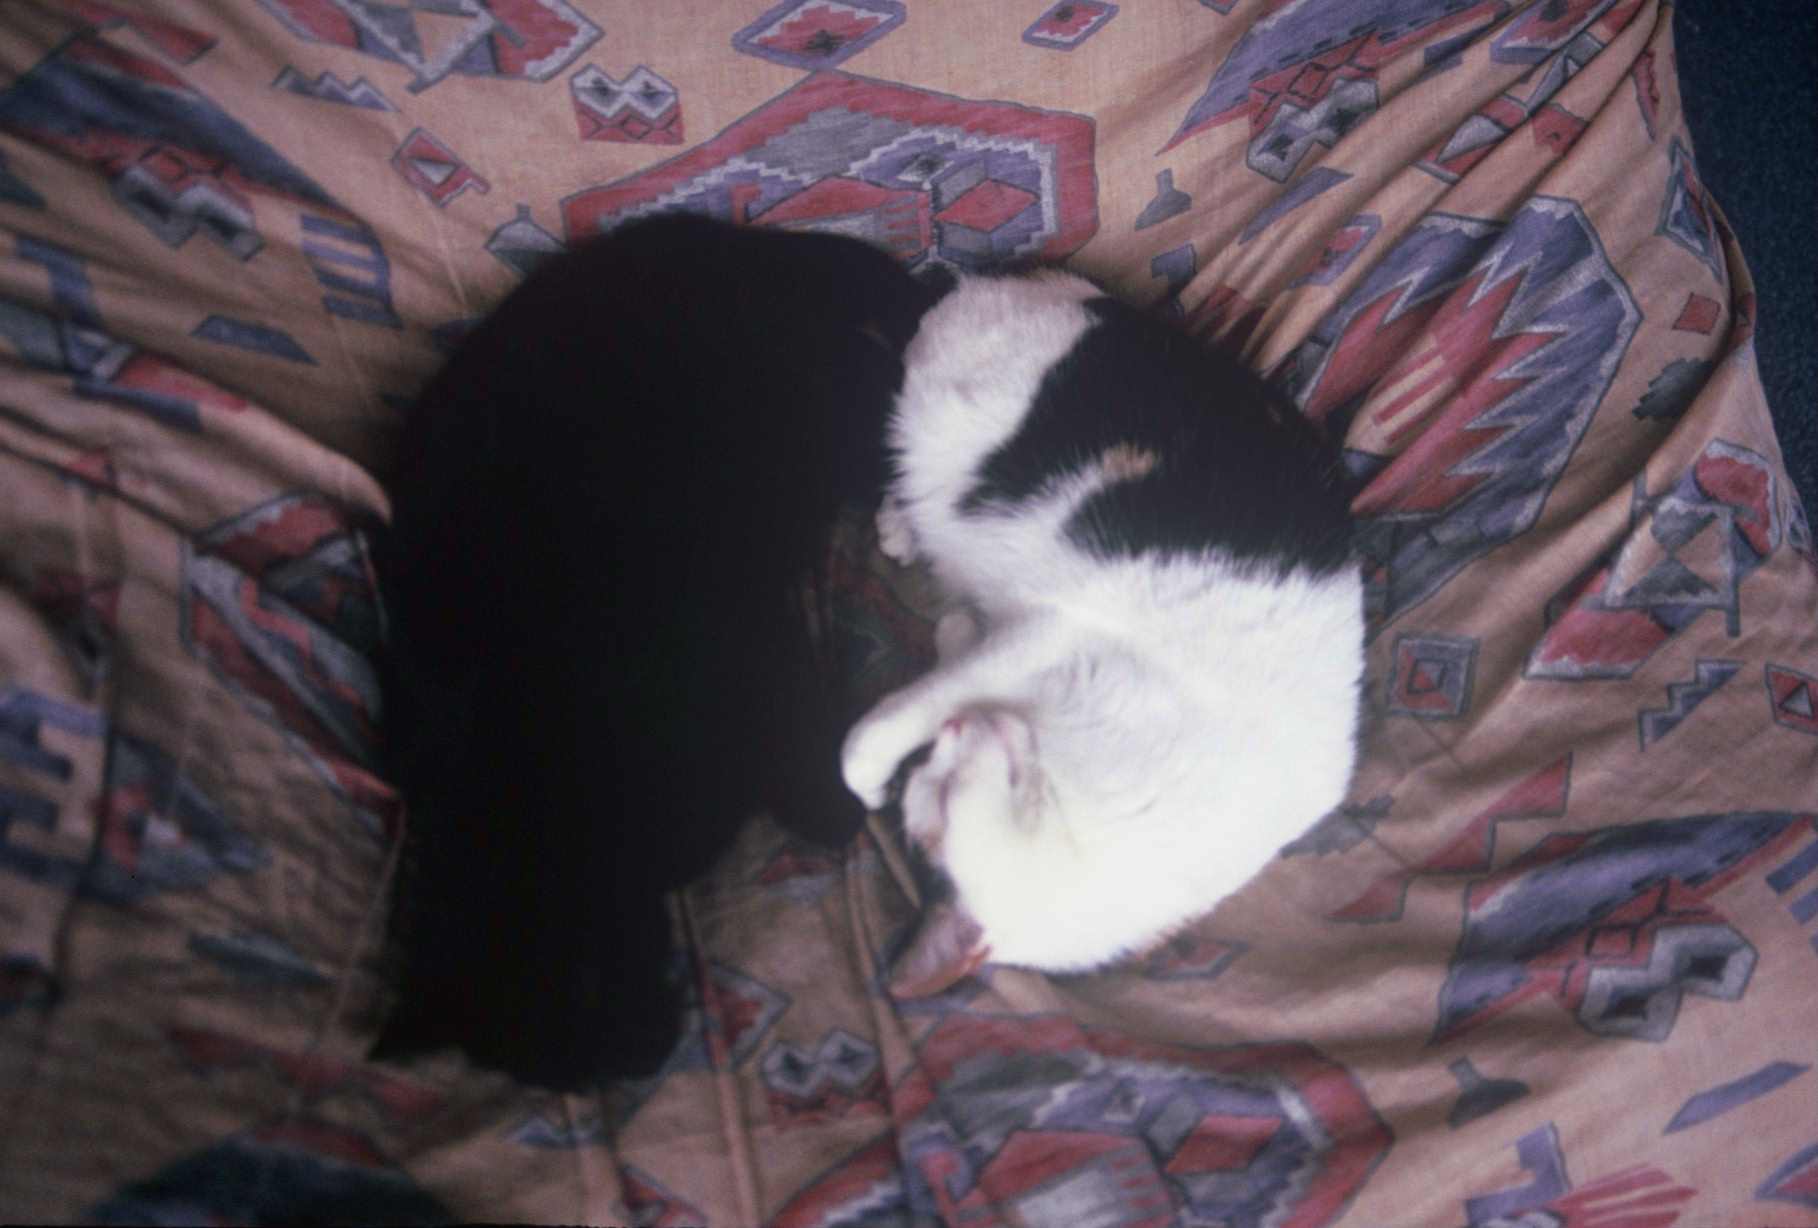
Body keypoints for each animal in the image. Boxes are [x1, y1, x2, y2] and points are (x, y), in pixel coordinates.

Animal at [372, 213, 936, 1090]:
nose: (641, 1061)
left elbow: (798, 759)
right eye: (558, 1079)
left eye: (586, 980)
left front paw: (837, 808)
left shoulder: (739, 647)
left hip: (813, 412)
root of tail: (708, 237)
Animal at [840, 267, 1364, 996]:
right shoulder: (1051, 630)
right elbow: (876, 727)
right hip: (951, 415)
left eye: (937, 798)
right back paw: (900, 525)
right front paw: (870, 774)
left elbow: (912, 694)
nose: (951, 731)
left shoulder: (1018, 646)